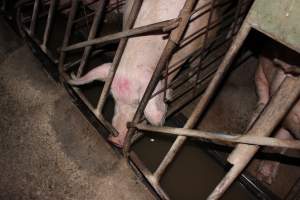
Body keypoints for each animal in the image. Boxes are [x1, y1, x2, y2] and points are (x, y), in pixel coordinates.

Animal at [68, 0, 218, 147]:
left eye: (137, 102)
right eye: (113, 97)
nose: (114, 141)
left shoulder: (184, 51)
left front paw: (167, 99)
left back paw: (193, 78)